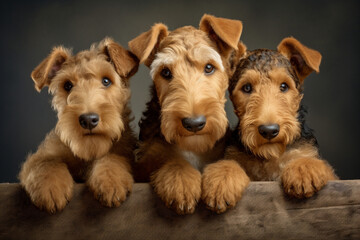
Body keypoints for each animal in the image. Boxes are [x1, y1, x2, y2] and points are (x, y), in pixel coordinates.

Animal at [18, 37, 139, 212]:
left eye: (106, 81)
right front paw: (51, 189)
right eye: (67, 85)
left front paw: (111, 183)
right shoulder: (40, 157)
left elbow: (111, 159)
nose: (88, 119)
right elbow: (47, 163)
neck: (87, 152)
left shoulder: (122, 151)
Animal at [128, 14, 243, 214]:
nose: (194, 124)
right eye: (165, 72)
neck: (193, 148)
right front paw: (181, 183)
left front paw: (222, 183)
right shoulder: (144, 163)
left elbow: (232, 162)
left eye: (209, 67)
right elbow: (170, 160)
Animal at [222, 36, 338, 212]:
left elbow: (313, 162)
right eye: (247, 87)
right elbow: (230, 163)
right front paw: (221, 183)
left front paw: (303, 170)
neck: (270, 156)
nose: (269, 131)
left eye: (284, 86)